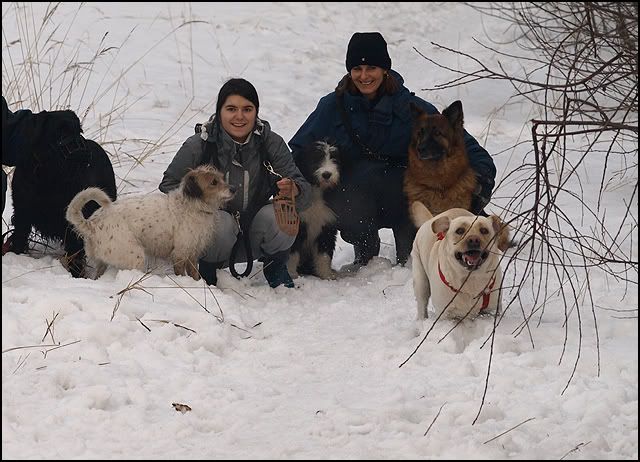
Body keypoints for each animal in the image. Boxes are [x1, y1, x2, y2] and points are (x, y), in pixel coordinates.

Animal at [7, 109, 117, 277]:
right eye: (59, 133)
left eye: (79, 131)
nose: (84, 153)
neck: (48, 176)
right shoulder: (22, 214)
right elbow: (19, 238)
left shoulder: (72, 222)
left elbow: (75, 254)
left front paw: (76, 276)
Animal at [65, 165, 234, 280]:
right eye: (213, 182)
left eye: (221, 178)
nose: (234, 188)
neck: (192, 205)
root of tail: (93, 223)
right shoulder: (180, 253)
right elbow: (181, 273)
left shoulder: (192, 253)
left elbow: (194, 274)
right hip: (135, 256)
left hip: (104, 261)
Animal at [287, 141, 342, 279]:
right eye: (315, 158)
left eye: (334, 158)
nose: (327, 174)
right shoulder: (297, 224)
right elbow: (292, 253)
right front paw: (291, 274)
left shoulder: (327, 226)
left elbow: (324, 253)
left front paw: (326, 275)